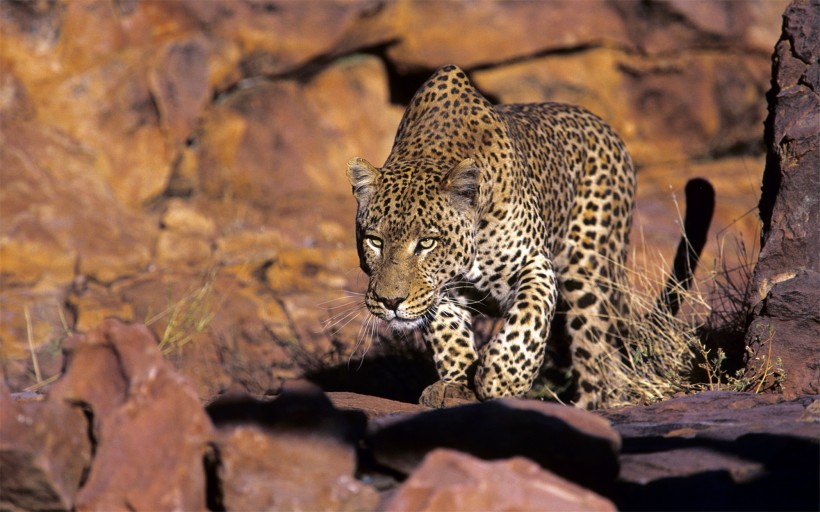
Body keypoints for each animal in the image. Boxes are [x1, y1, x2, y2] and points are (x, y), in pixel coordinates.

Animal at [342, 65, 708, 408]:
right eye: (375, 241)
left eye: (427, 243)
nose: (390, 302)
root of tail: (607, 130)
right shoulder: (441, 288)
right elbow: (448, 332)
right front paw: (456, 384)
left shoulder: (534, 263)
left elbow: (529, 316)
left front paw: (501, 378)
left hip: (589, 270)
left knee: (598, 355)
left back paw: (587, 405)